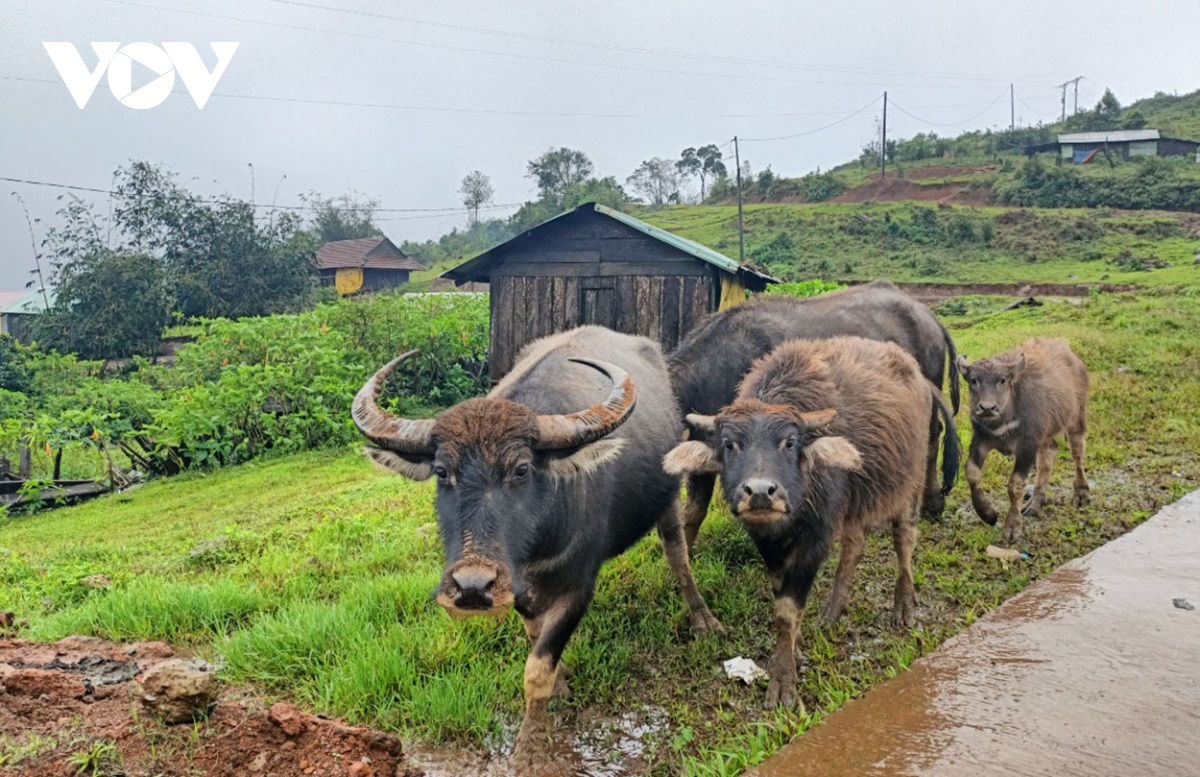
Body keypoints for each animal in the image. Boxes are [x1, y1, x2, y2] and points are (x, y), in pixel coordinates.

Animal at [350, 323, 715, 772]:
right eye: (442, 472)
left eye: (522, 469)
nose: (472, 588)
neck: (533, 548)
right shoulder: (517, 591)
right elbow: (534, 636)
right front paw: (562, 681)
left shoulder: (578, 588)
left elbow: (536, 670)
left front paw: (528, 751)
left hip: (666, 497)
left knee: (678, 553)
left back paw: (702, 618)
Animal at [960, 335, 1094, 544]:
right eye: (974, 380)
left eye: (1002, 380)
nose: (987, 408)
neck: (1004, 420)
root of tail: (1072, 356)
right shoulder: (980, 439)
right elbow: (971, 472)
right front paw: (987, 514)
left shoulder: (1027, 447)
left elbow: (1015, 485)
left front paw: (1012, 528)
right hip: (1046, 434)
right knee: (1048, 455)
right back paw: (1035, 504)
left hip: (1076, 418)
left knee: (1077, 452)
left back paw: (1081, 494)